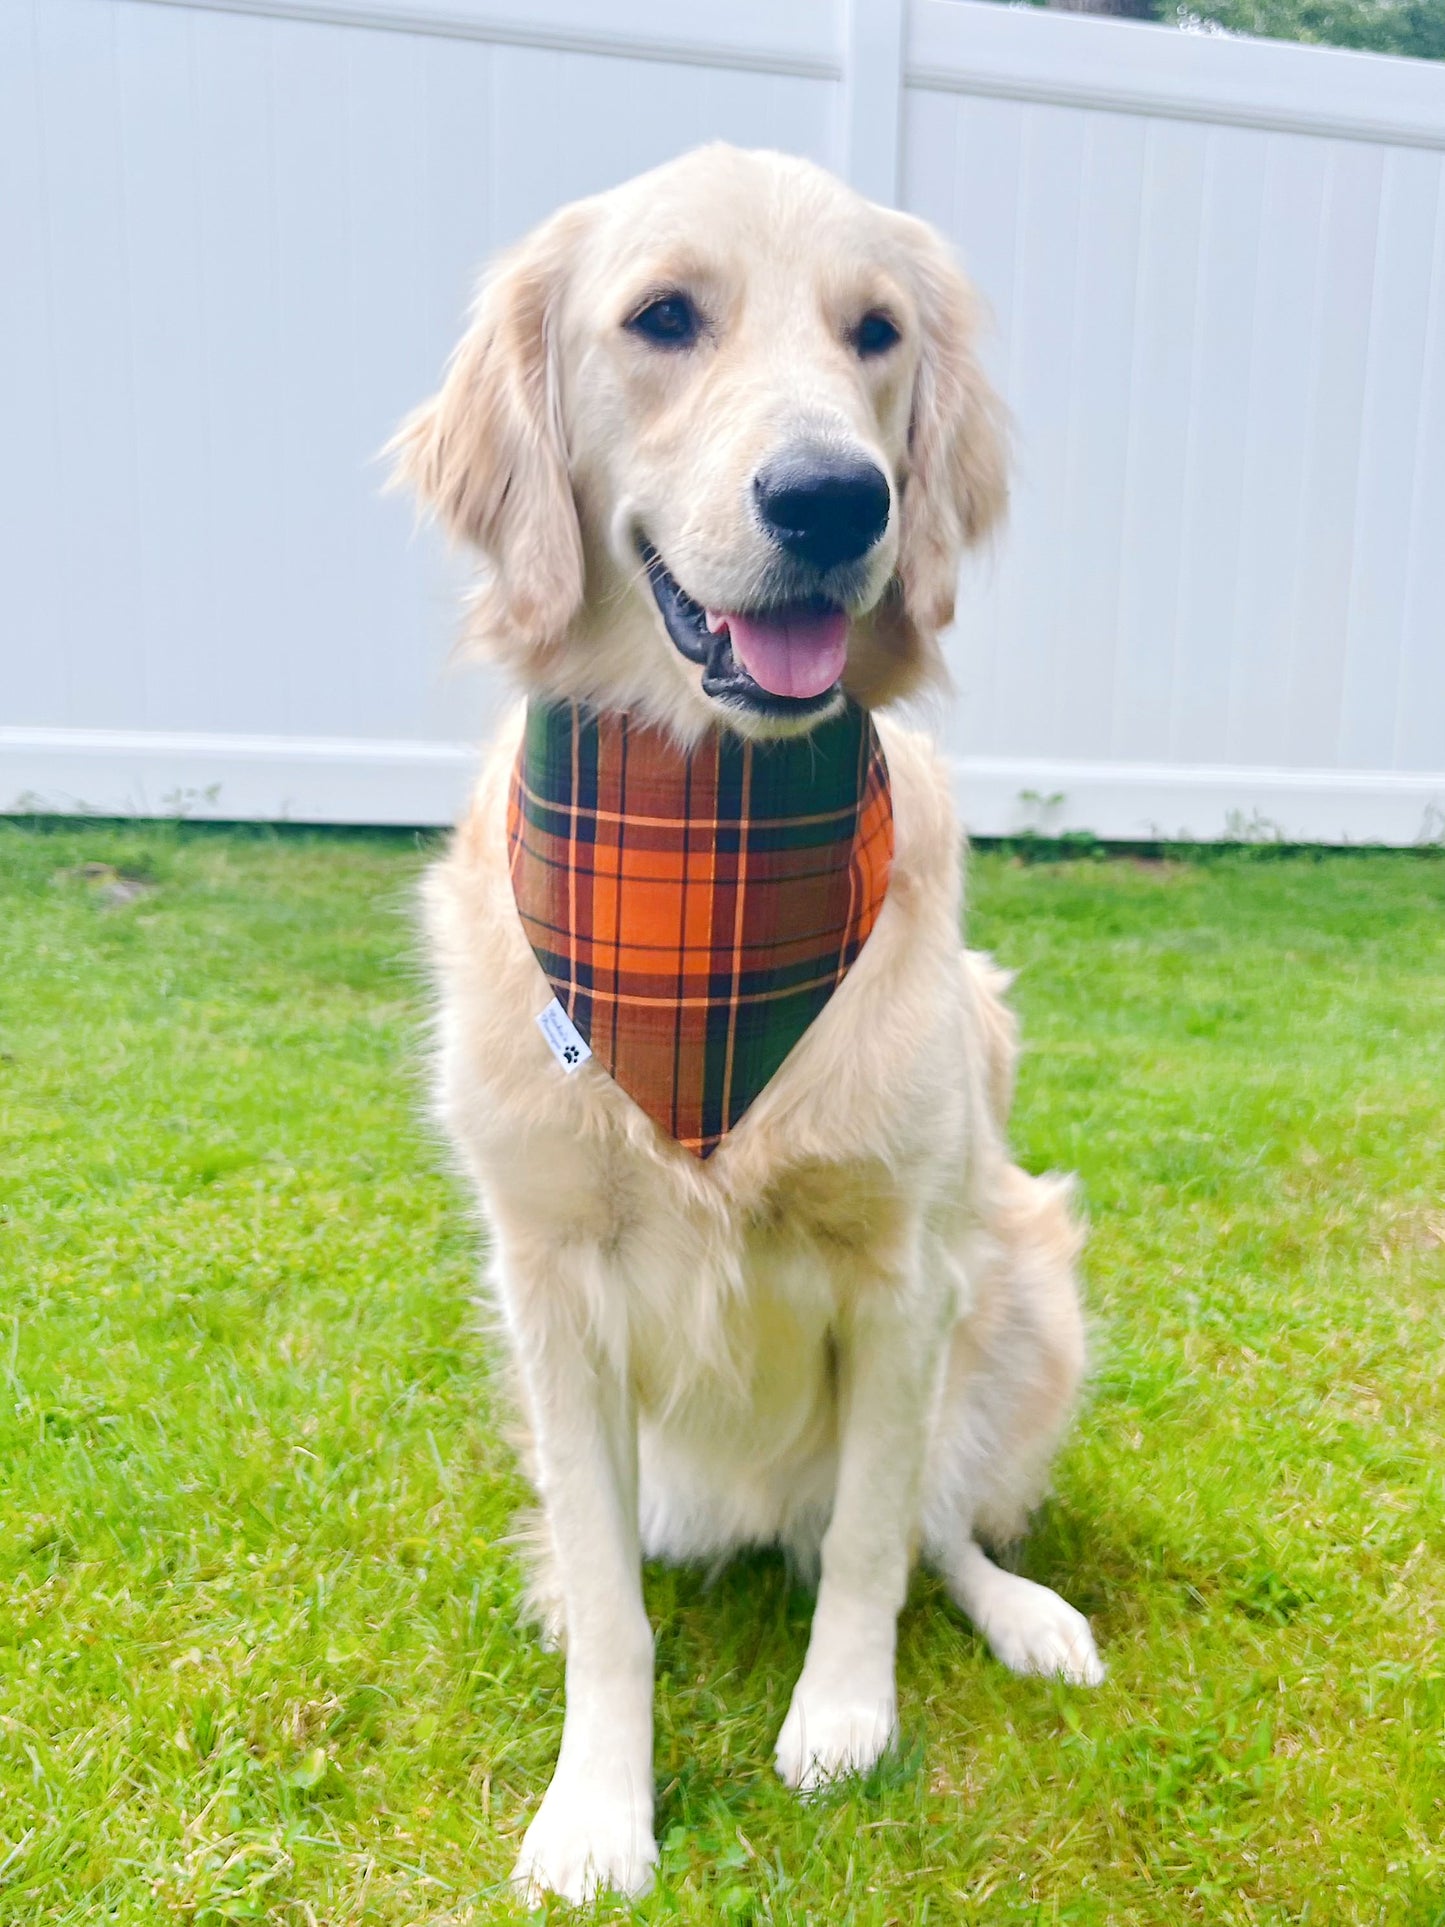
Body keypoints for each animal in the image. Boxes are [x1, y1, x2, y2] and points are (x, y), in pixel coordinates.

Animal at [391, 142, 1102, 1903]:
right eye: (663, 317)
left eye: (877, 332)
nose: (838, 499)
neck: (705, 821)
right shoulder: (551, 1285)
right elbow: (613, 1602)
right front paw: (596, 1802)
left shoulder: (901, 1268)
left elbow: (869, 1540)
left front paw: (843, 1717)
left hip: (1023, 1297)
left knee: (930, 1522)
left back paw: (1026, 1613)